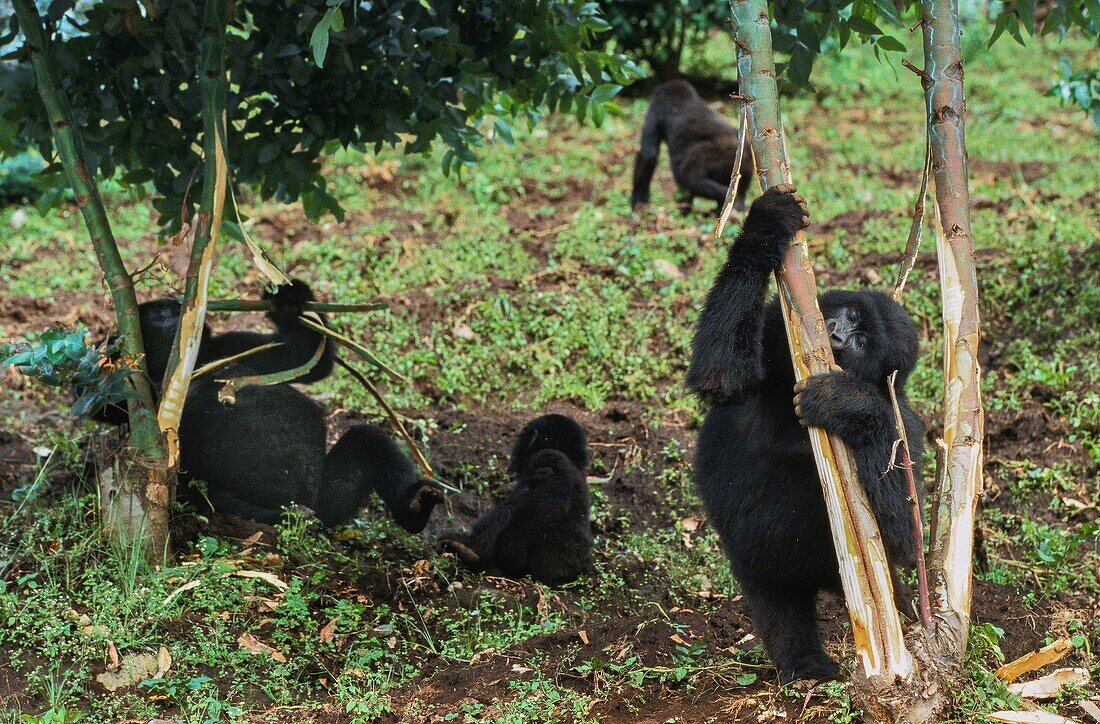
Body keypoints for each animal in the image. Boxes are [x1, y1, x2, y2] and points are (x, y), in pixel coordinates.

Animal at [91, 280, 442, 530]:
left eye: (172, 308)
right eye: (152, 313)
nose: (171, 311)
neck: (187, 368)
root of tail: (312, 500)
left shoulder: (231, 346)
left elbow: (306, 357)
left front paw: (290, 299)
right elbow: (105, 408)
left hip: (330, 494)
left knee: (368, 441)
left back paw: (413, 507)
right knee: (210, 493)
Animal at [682, 185, 924, 682]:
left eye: (862, 341)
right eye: (848, 316)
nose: (836, 334)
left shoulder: (904, 425)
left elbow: (902, 536)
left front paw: (849, 403)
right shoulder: (778, 329)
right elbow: (722, 378)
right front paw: (765, 227)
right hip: (761, 565)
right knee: (779, 601)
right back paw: (804, 661)